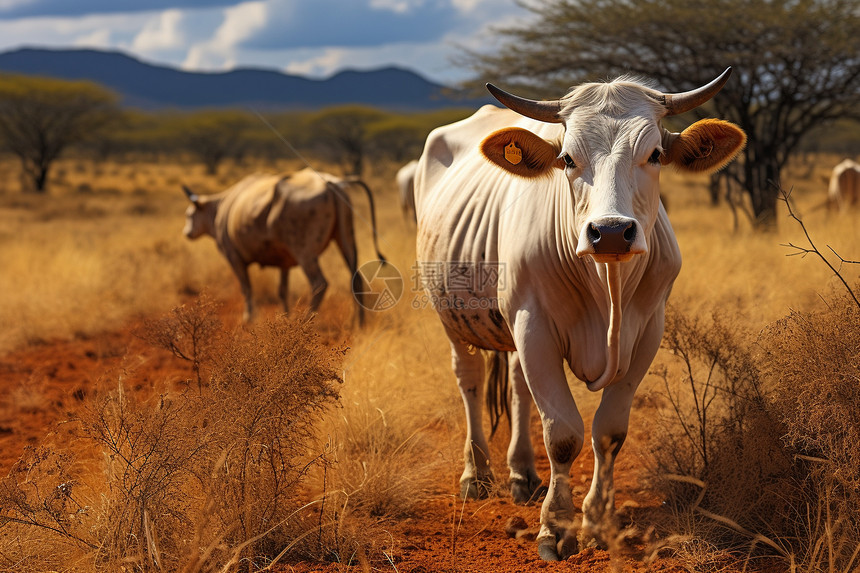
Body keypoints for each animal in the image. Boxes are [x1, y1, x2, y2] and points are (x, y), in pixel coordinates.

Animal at [414, 68, 744, 560]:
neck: (606, 285)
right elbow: (563, 434)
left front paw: (596, 522)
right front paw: (555, 528)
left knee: (517, 387)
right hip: (452, 317)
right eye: (568, 158)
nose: (611, 232)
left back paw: (523, 473)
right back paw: (476, 475)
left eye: (656, 154)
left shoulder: (647, 333)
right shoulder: (534, 326)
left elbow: (608, 431)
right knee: (470, 381)